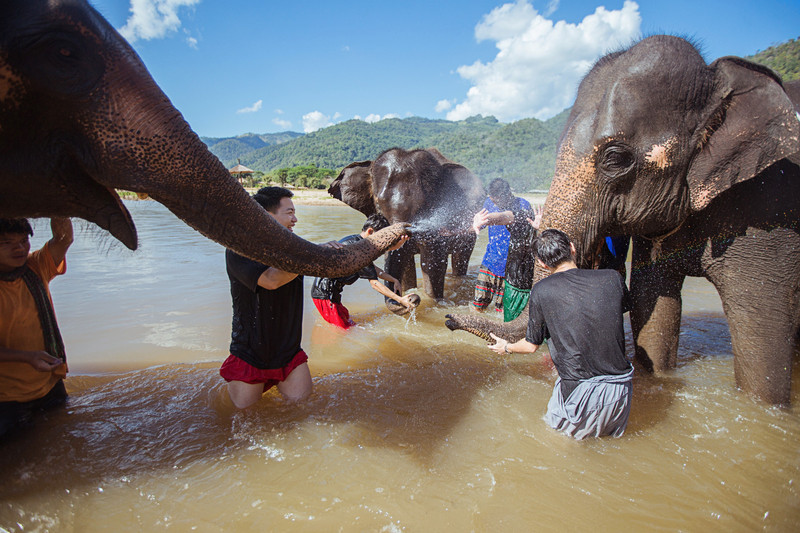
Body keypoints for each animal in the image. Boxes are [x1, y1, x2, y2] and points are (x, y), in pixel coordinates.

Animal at [328, 148, 484, 310]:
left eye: (424, 206)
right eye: (378, 204)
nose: (411, 298)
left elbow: (432, 264)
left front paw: (434, 302)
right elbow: (407, 264)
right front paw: (410, 291)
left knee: (461, 257)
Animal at [446, 35, 796, 406]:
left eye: (615, 158)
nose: (448, 319)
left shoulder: (767, 204)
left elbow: (762, 325)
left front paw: (765, 408)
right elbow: (651, 305)